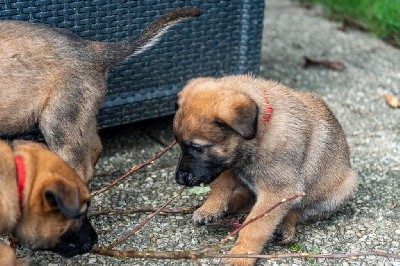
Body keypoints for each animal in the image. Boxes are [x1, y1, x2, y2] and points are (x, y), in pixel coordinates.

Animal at [173, 75, 358, 266]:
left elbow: (255, 227)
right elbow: (220, 185)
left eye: (197, 148)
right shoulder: (228, 163)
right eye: (179, 143)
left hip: (343, 188)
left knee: (298, 211)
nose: (179, 178)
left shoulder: (277, 193)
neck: (260, 131)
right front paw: (210, 208)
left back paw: (285, 226)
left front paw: (241, 254)